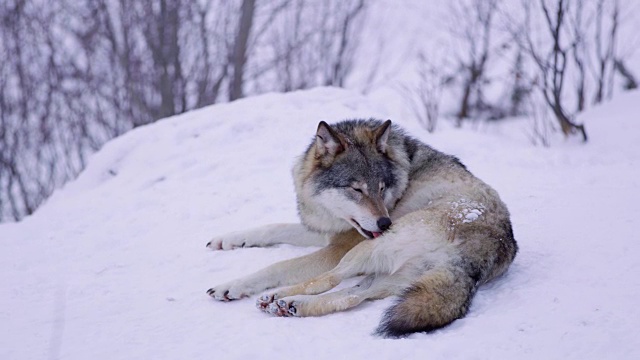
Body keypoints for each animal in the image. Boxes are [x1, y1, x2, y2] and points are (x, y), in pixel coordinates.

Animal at [208, 119, 516, 338]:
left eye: (381, 188)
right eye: (357, 189)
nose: (385, 223)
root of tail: (486, 249)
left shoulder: (338, 247)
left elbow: (278, 267)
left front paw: (231, 286)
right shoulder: (327, 230)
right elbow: (272, 228)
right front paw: (228, 240)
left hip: (366, 250)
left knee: (329, 280)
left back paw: (277, 298)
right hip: (390, 278)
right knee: (351, 297)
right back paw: (293, 305)